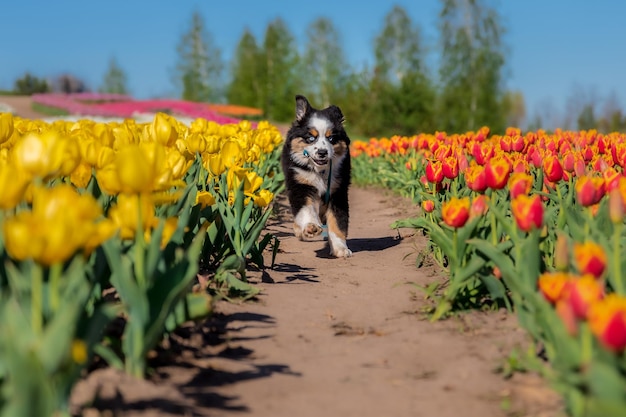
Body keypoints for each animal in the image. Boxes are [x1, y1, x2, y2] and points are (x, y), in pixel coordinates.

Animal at [280, 94, 352, 256]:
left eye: (331, 138)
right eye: (311, 138)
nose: (322, 152)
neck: (320, 171)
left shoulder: (337, 191)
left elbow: (338, 221)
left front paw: (341, 249)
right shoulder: (300, 185)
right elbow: (306, 209)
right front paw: (311, 227)